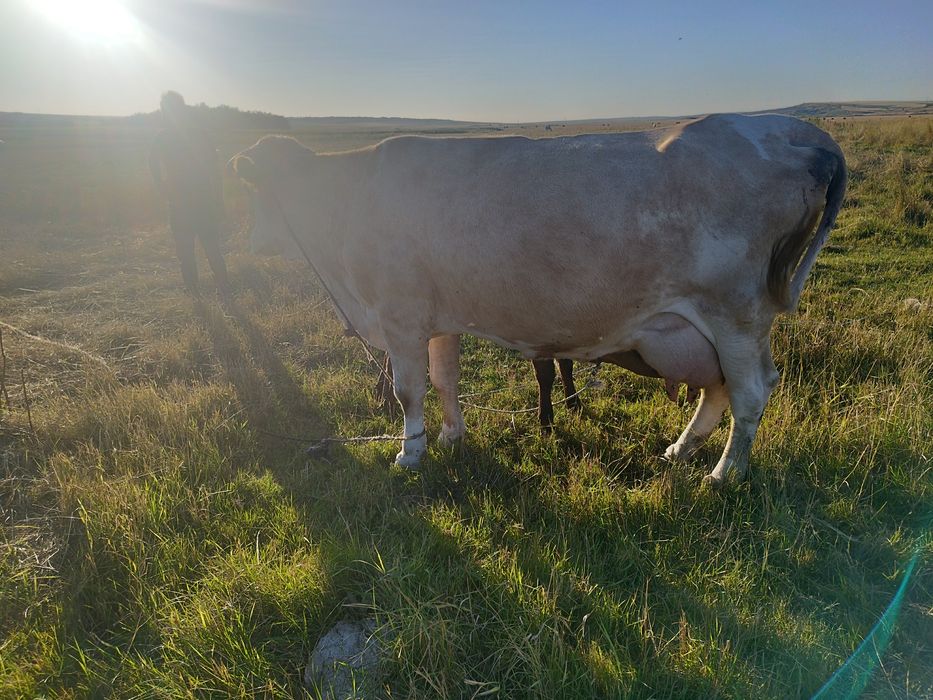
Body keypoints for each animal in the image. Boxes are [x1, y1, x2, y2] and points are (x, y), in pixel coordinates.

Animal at [230, 113, 846, 487]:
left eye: (261, 188)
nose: (254, 243)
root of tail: (787, 127)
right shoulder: (437, 317)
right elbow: (444, 380)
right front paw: (451, 436)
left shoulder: (399, 315)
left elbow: (408, 390)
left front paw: (410, 453)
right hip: (700, 331)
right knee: (717, 391)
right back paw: (681, 450)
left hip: (736, 315)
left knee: (750, 392)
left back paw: (724, 472)